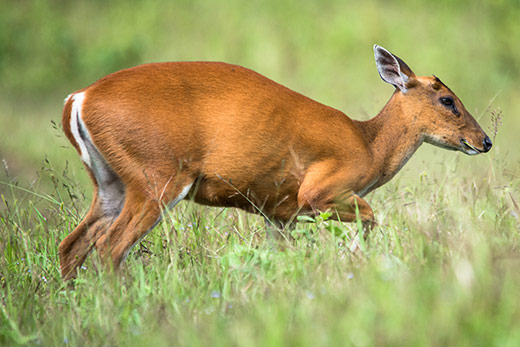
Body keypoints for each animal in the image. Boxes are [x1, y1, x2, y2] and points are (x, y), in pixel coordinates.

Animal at [59, 45, 494, 280]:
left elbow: (278, 257)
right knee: (110, 246)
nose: (485, 141)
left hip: (111, 181)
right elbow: (371, 217)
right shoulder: (320, 190)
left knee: (72, 243)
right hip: (157, 176)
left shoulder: (279, 213)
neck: (369, 145)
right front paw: (358, 262)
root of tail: (78, 99)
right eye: (448, 100)